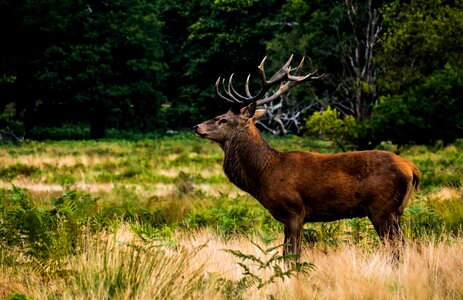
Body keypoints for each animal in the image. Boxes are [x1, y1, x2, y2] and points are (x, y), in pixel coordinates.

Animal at [194, 55, 422, 258]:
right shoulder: (287, 217)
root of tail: (413, 169)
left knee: (396, 249)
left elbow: (293, 255)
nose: (197, 126)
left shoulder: (295, 211)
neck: (264, 173)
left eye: (223, 119)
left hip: (382, 208)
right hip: (396, 212)